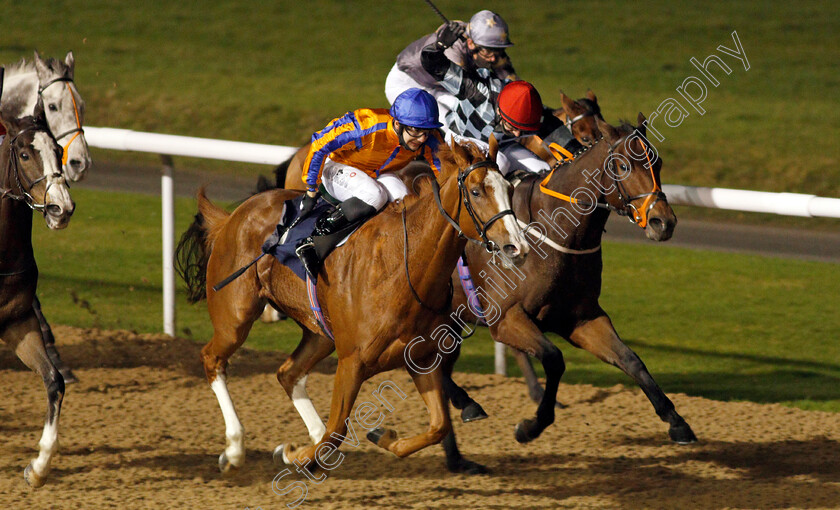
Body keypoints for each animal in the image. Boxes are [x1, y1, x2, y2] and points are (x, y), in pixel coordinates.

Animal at [180, 140, 528, 474]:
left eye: (510, 189)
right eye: (476, 191)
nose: (517, 247)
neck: (403, 266)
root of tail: (232, 217)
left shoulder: (422, 357)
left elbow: (438, 426)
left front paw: (381, 436)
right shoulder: (352, 361)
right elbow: (336, 432)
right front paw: (297, 454)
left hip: (319, 332)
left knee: (288, 374)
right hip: (235, 316)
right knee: (213, 359)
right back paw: (235, 449)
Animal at [440, 113, 696, 472]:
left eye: (657, 162)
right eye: (622, 165)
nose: (664, 222)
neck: (552, 233)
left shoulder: (581, 318)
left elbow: (631, 360)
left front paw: (677, 421)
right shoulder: (506, 320)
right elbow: (554, 358)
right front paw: (531, 425)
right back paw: (464, 412)